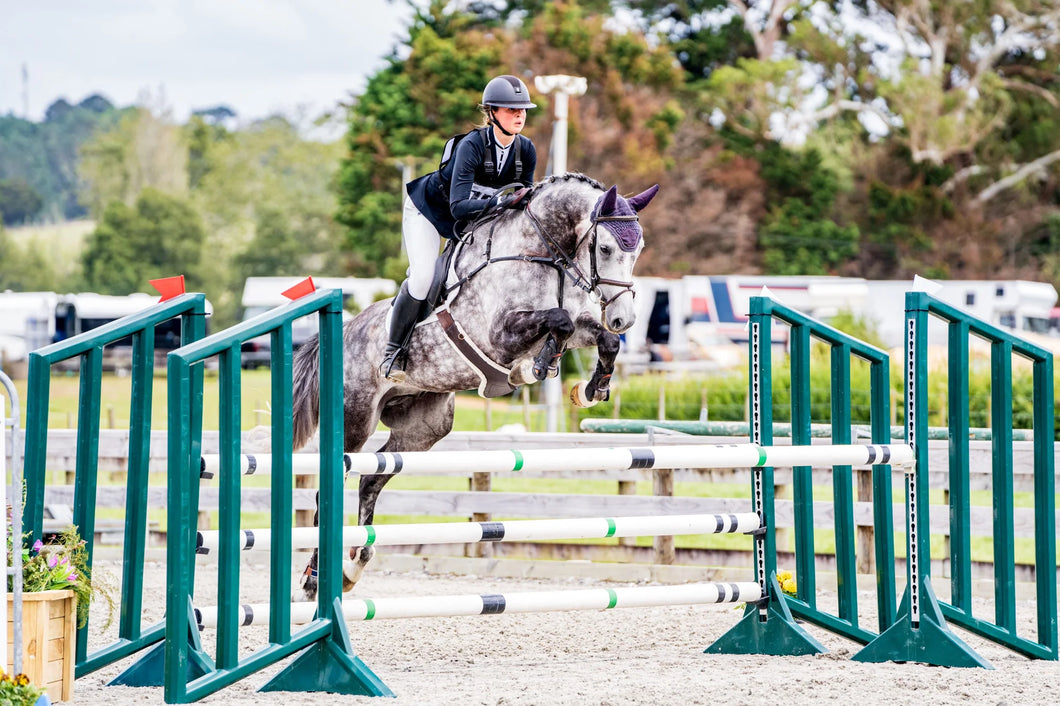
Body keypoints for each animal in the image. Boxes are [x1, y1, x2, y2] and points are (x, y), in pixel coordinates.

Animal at [290, 172, 652, 597]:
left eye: (638, 249)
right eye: (606, 247)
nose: (625, 319)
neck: (538, 254)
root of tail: (346, 330)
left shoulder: (579, 325)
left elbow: (598, 338)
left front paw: (590, 388)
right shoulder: (497, 335)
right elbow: (558, 320)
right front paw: (535, 367)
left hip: (423, 428)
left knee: (371, 480)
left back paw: (354, 566)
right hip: (356, 418)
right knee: (332, 486)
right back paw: (315, 578)